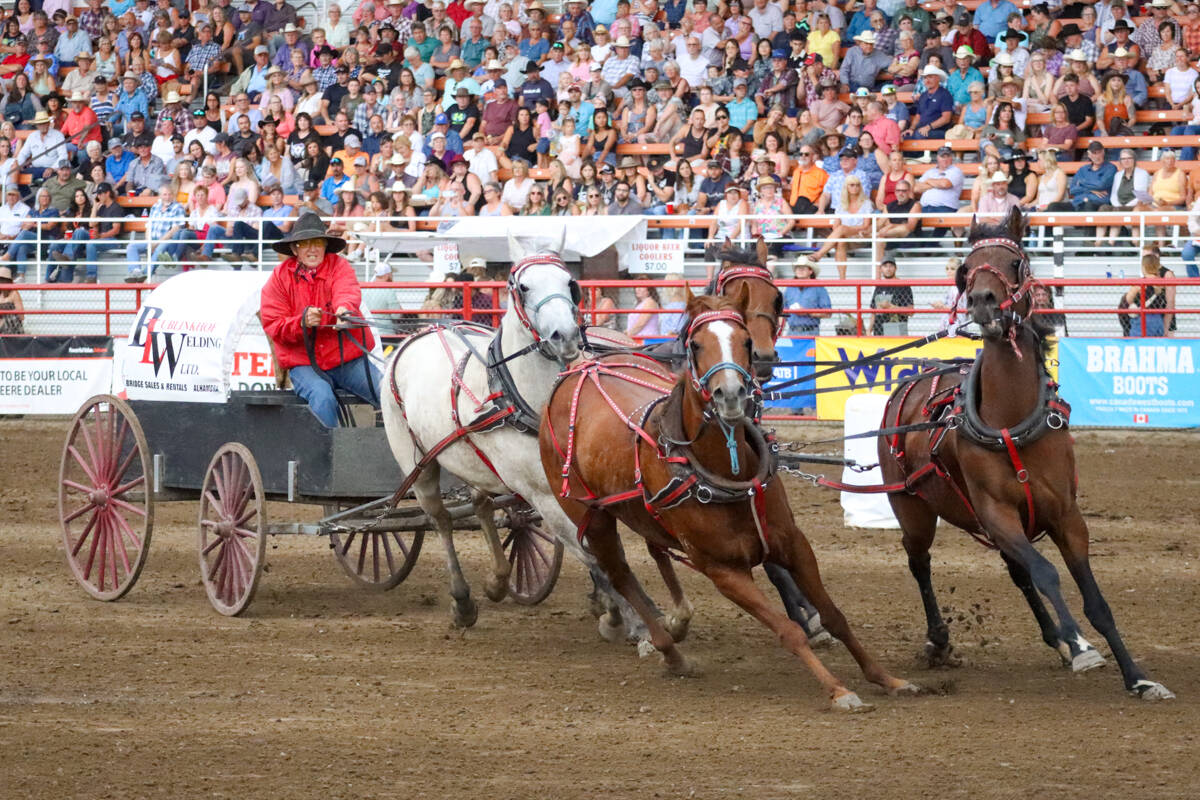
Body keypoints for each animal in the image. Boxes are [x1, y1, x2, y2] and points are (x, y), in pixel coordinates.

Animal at [384, 232, 667, 638]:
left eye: (570, 282)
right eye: (523, 287)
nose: (564, 335)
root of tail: (419, 335)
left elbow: (604, 547)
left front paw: (618, 607)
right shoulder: (543, 495)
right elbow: (592, 552)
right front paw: (625, 618)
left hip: (476, 462)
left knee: (482, 505)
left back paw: (499, 580)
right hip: (418, 465)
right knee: (441, 521)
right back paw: (462, 601)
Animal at [540, 289, 912, 714]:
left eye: (746, 340)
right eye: (696, 344)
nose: (730, 395)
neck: (726, 473)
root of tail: (581, 370)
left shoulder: (793, 544)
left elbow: (835, 616)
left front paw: (885, 678)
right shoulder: (723, 570)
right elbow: (788, 630)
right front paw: (837, 689)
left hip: (646, 512)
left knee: (655, 550)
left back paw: (677, 623)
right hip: (592, 515)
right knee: (618, 572)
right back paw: (670, 651)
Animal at [883, 211, 1171, 700]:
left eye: (1015, 261)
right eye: (966, 267)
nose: (982, 301)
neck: (1013, 420)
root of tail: (910, 383)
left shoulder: (1067, 517)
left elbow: (1095, 602)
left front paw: (1136, 677)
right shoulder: (998, 515)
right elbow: (1047, 573)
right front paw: (1080, 645)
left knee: (1015, 571)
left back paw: (1054, 639)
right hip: (913, 509)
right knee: (919, 561)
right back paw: (939, 640)